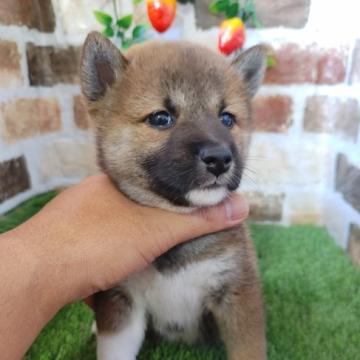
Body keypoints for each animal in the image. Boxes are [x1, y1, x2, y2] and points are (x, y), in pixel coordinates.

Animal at [81, 31, 268, 360]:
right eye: (161, 118)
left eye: (227, 119)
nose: (219, 158)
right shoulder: (122, 299)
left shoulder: (236, 291)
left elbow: (249, 349)